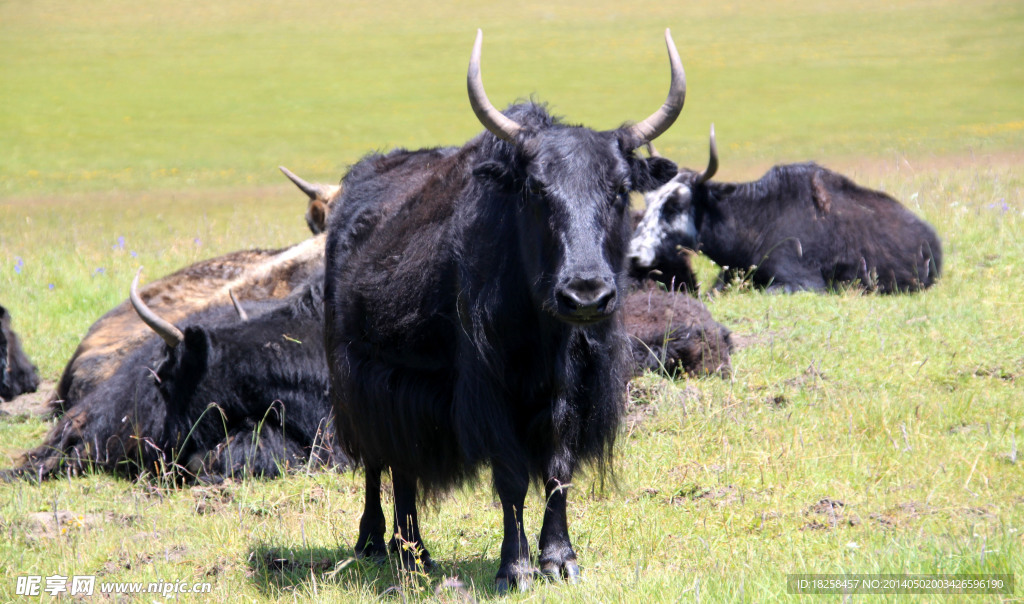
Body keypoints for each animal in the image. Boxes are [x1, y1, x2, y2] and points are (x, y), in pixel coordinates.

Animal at [323, 29, 684, 593]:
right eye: (536, 189)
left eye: (621, 190)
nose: (585, 295)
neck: (545, 332)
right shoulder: (488, 390)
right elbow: (511, 476)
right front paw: (514, 568)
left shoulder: (572, 391)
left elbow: (558, 468)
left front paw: (559, 559)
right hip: (357, 378)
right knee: (379, 460)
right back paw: (378, 545)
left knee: (404, 466)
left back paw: (414, 554)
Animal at [630, 128, 942, 294]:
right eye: (647, 201)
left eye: (675, 203)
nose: (632, 254)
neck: (754, 219)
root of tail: (932, 241)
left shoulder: (803, 282)